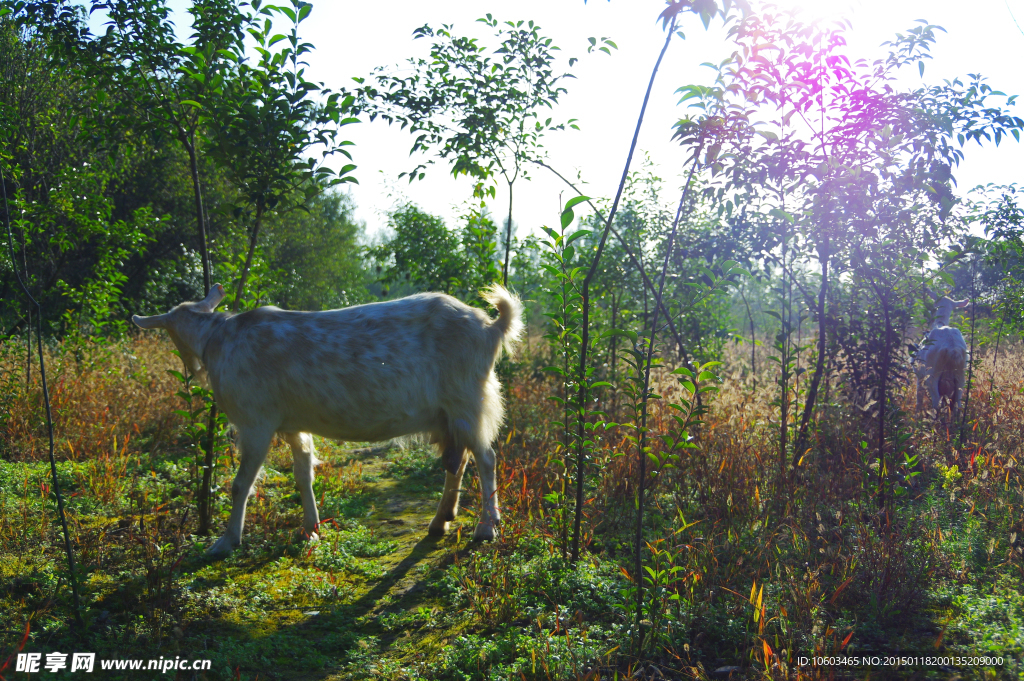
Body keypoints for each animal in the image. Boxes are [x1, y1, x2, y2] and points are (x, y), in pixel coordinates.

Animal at [132, 284, 524, 557]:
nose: (192, 371)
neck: (217, 337)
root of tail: (492, 326)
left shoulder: (255, 421)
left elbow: (240, 484)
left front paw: (226, 541)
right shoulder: (293, 425)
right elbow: (302, 474)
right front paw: (311, 529)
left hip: (467, 400)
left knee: (486, 458)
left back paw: (486, 527)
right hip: (448, 413)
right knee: (458, 460)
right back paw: (440, 521)